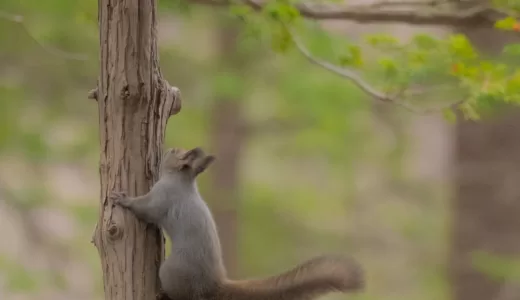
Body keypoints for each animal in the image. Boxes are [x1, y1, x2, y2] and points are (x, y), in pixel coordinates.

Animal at [110, 147, 362, 300]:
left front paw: (123, 199)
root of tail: (214, 284)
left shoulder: (162, 197)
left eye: (174, 152)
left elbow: (145, 209)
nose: (165, 149)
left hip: (171, 272)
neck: (183, 181)